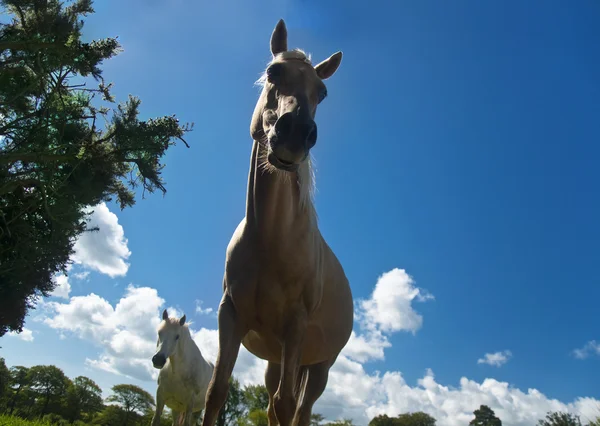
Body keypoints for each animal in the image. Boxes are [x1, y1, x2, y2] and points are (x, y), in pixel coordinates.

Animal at [203, 19, 352, 426]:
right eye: (273, 72)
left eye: (322, 92)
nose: (296, 133)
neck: (271, 242)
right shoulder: (231, 316)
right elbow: (216, 391)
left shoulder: (295, 327)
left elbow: (288, 406)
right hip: (275, 359)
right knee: (272, 403)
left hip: (318, 366)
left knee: (300, 409)